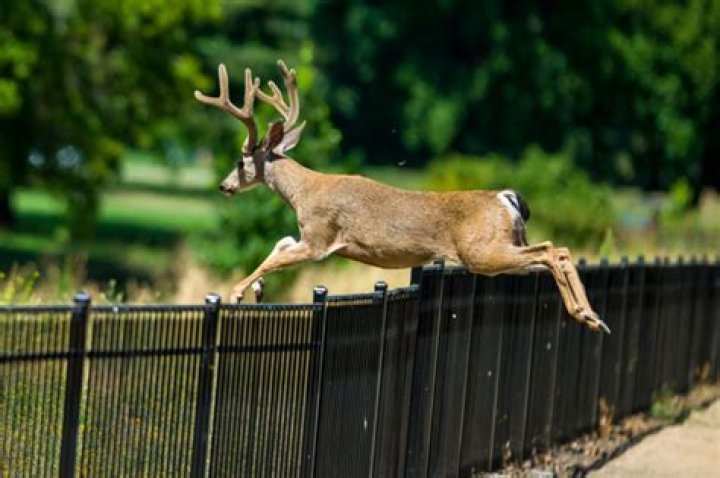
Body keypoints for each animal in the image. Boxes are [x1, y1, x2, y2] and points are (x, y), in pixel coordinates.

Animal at [195, 60, 610, 333]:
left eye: (239, 159)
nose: (223, 186)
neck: (303, 192)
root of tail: (506, 198)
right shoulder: (310, 236)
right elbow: (280, 243)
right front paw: (257, 290)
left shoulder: (320, 236)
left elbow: (277, 256)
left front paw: (237, 292)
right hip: (505, 248)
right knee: (555, 252)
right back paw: (591, 316)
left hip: (482, 250)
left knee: (553, 250)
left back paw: (588, 317)